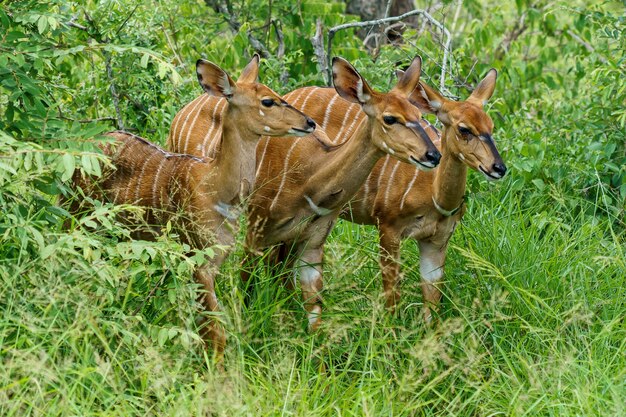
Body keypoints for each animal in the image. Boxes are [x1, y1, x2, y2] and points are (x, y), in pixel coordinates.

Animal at [70, 55, 314, 360]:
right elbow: (214, 331)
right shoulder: (197, 257)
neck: (216, 187)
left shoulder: (217, 259)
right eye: (267, 101)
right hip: (77, 212)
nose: (310, 122)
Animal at [241, 57, 442, 332]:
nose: (433, 155)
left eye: (419, 115)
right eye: (390, 118)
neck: (309, 179)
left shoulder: (313, 239)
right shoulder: (255, 226)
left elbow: (315, 310)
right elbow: (245, 284)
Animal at [286, 67, 504, 322]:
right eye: (464, 129)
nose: (499, 168)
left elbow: (431, 302)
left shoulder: (437, 241)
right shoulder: (388, 226)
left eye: (491, 126)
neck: (433, 196)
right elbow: (392, 294)